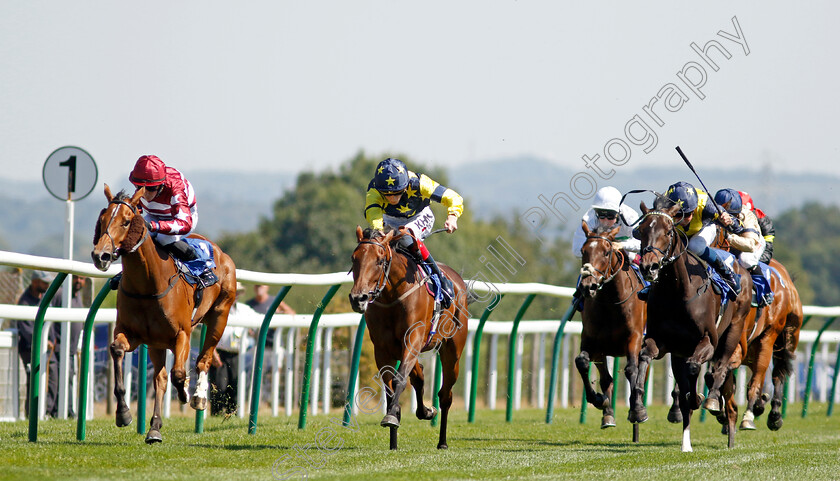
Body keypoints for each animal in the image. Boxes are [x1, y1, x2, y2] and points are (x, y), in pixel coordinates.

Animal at [91, 186, 236, 444]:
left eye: (126, 221)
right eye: (103, 219)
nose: (101, 255)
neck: (147, 285)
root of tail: (219, 251)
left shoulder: (182, 334)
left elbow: (179, 373)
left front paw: (186, 392)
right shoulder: (133, 334)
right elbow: (117, 350)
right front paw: (123, 414)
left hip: (220, 315)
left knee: (204, 359)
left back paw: (198, 397)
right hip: (156, 343)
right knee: (160, 379)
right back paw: (154, 429)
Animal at [344, 227, 470, 448]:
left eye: (379, 260)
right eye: (354, 258)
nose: (358, 298)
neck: (392, 297)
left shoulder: (413, 339)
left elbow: (400, 378)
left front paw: (392, 417)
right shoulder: (382, 349)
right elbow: (390, 386)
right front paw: (394, 428)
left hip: (452, 351)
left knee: (445, 394)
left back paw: (442, 441)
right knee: (419, 377)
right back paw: (425, 412)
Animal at [576, 222, 648, 436]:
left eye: (606, 252)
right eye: (583, 251)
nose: (588, 286)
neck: (611, 304)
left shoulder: (634, 338)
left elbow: (632, 370)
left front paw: (637, 410)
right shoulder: (592, 341)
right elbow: (582, 362)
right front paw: (600, 400)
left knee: (642, 373)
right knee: (606, 378)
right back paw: (608, 414)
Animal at [632, 202, 756, 450]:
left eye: (668, 232)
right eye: (641, 230)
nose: (650, 266)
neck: (676, 291)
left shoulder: (707, 340)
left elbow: (695, 369)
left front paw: (700, 397)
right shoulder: (663, 343)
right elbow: (644, 357)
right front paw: (639, 409)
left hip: (734, 328)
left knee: (721, 367)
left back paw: (715, 405)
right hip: (679, 352)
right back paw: (687, 442)